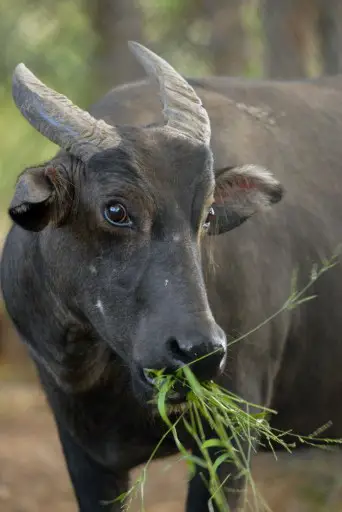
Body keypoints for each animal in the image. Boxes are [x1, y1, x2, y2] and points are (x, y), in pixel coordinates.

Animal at [0, 42, 342, 510]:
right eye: (116, 210)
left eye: (208, 214)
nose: (199, 352)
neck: (104, 372)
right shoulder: (83, 450)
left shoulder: (231, 433)